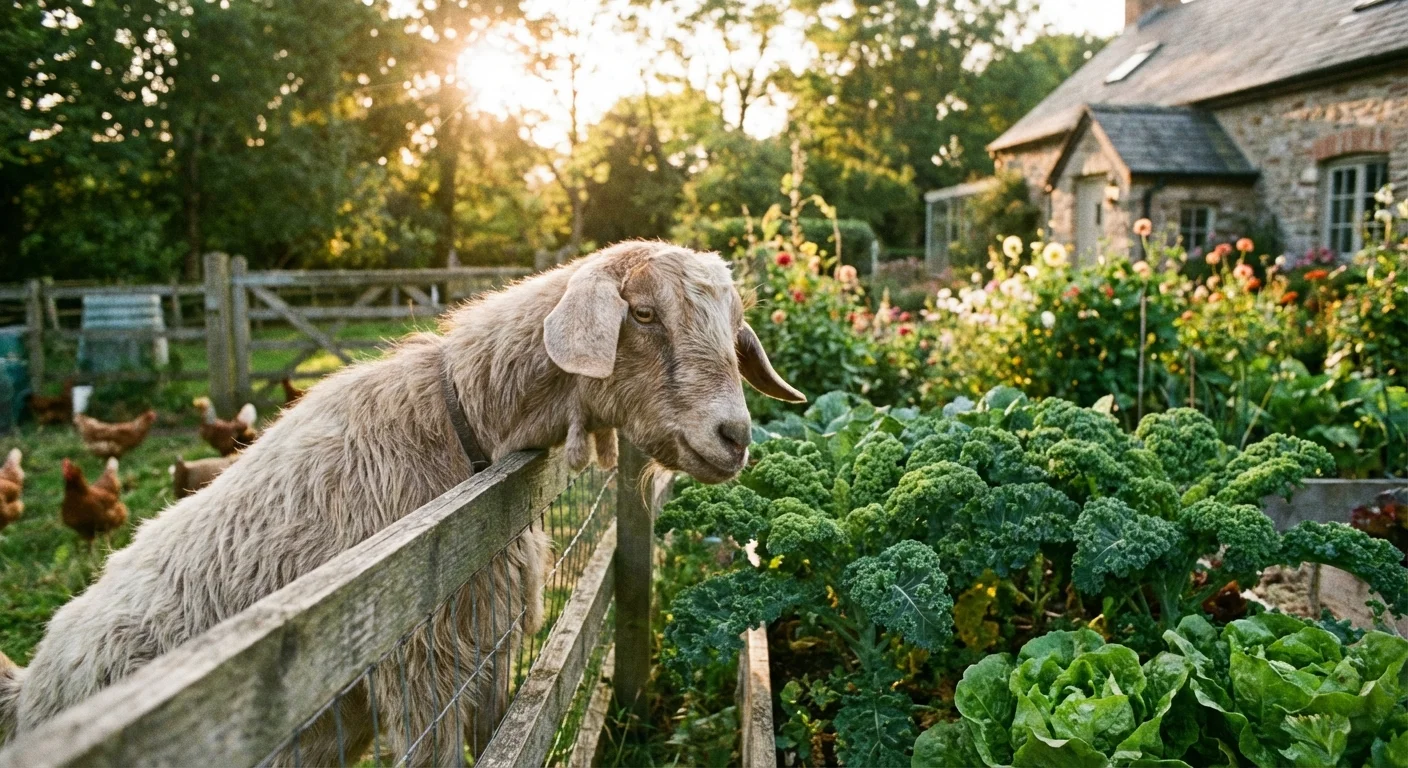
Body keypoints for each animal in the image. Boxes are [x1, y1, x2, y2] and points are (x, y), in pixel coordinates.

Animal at [0, 241, 802, 764]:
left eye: (733, 330)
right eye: (640, 313)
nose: (734, 436)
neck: (459, 424)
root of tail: (31, 687)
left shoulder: (489, 648)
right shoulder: (420, 667)